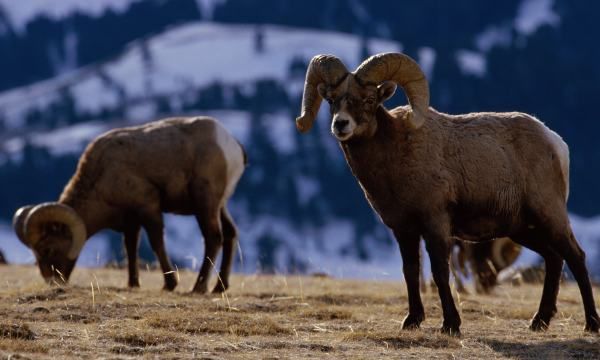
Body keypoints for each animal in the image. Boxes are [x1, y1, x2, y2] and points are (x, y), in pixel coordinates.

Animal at [12, 116, 246, 294]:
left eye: (48, 249)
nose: (54, 283)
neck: (102, 173)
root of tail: (232, 146)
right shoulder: (131, 221)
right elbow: (130, 248)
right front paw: (133, 284)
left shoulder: (148, 207)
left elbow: (156, 243)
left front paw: (169, 284)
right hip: (220, 206)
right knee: (230, 234)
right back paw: (219, 288)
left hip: (205, 203)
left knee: (213, 238)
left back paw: (199, 287)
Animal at [296, 51, 600, 334]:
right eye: (332, 100)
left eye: (370, 99)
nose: (341, 124)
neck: (396, 155)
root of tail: (556, 143)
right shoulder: (404, 231)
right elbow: (410, 272)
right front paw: (412, 321)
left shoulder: (436, 225)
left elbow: (440, 272)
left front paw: (451, 324)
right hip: (523, 229)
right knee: (554, 258)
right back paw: (539, 322)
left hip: (549, 216)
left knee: (576, 257)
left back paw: (590, 324)